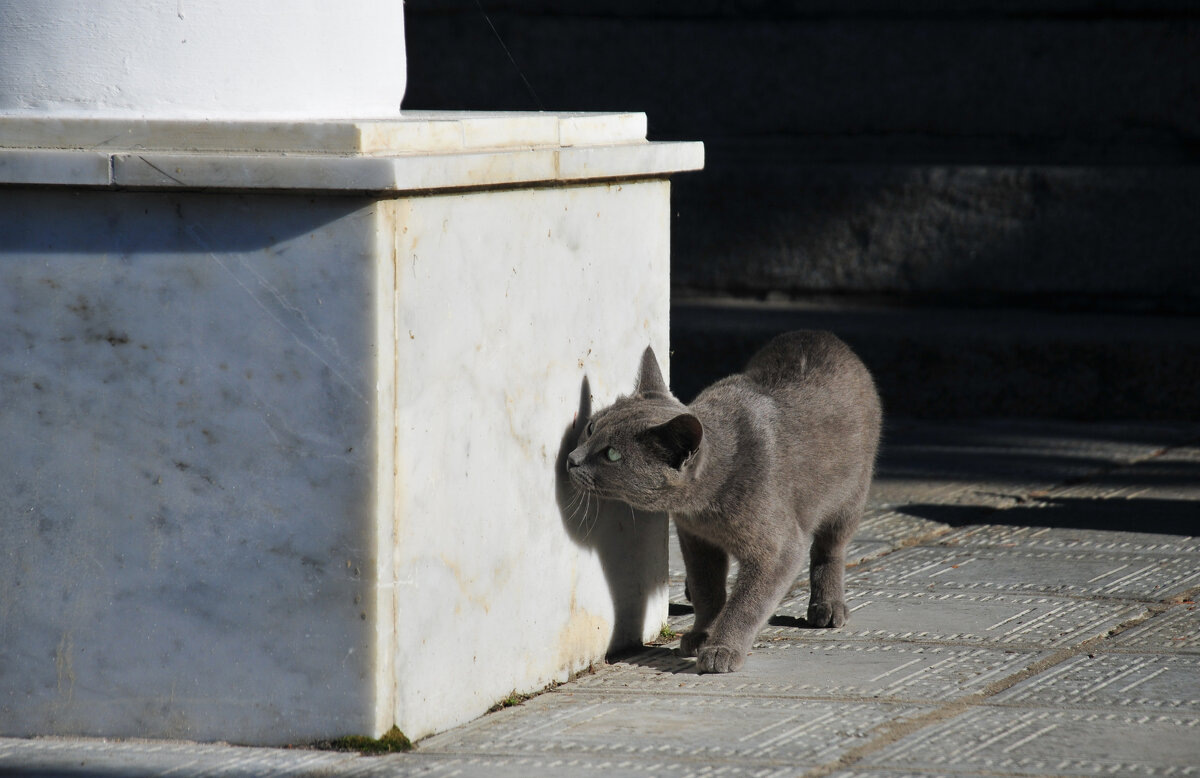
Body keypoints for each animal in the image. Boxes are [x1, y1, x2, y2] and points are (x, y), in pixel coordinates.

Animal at [561, 331, 883, 672]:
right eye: (591, 428)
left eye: (612, 455)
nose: (571, 459)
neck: (705, 510)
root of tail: (820, 334)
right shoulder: (696, 540)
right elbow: (708, 589)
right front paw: (701, 634)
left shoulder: (779, 550)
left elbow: (746, 604)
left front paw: (721, 648)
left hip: (851, 497)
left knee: (830, 549)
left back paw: (828, 605)